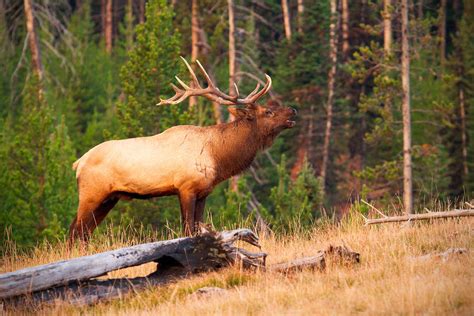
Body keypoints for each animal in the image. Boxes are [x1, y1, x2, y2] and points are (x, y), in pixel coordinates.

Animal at [67, 57, 296, 244]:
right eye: (268, 111)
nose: (292, 110)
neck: (218, 158)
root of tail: (78, 163)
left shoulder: (204, 192)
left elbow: (197, 227)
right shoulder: (186, 188)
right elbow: (187, 230)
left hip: (109, 198)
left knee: (84, 232)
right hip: (91, 193)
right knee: (74, 231)